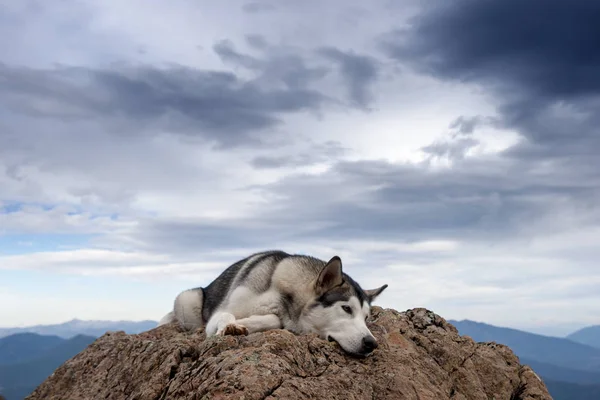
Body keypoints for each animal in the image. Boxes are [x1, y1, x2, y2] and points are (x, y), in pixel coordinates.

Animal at [157, 250, 390, 356]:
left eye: (366, 318)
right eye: (346, 308)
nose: (371, 343)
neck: (281, 291)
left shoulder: (280, 317)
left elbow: (273, 320)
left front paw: (246, 323)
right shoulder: (221, 312)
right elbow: (225, 315)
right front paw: (230, 326)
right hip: (189, 300)